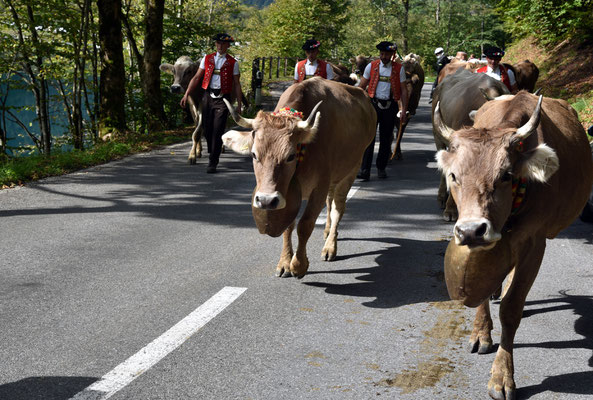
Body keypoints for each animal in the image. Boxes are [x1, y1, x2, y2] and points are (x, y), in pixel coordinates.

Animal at [220, 77, 376, 278]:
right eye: (254, 154)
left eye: (290, 156)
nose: (266, 200)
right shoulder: (290, 194)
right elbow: (289, 226)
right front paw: (285, 262)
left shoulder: (320, 186)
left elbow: (305, 224)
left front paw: (299, 265)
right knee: (330, 201)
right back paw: (327, 231)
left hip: (351, 169)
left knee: (337, 208)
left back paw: (330, 247)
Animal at [434, 90, 592, 400]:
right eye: (454, 176)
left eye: (506, 175)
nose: (472, 230)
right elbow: (481, 288)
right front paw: (480, 333)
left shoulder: (535, 240)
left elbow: (511, 308)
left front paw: (502, 377)